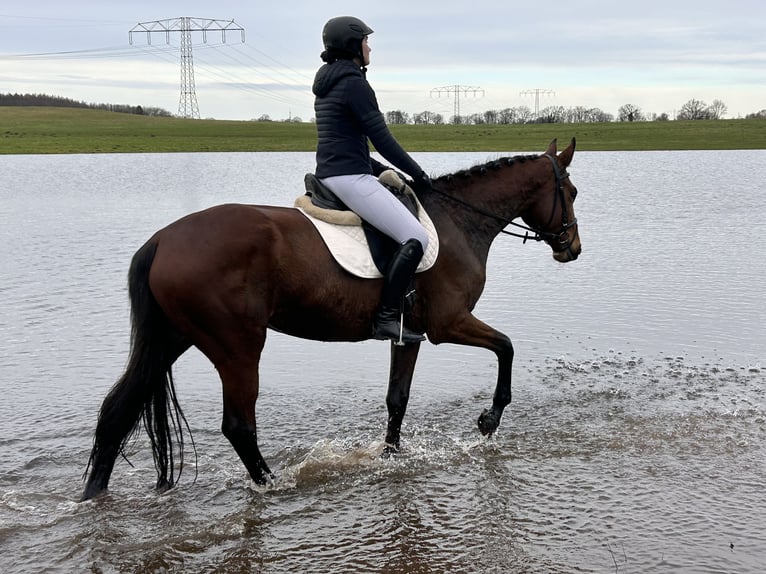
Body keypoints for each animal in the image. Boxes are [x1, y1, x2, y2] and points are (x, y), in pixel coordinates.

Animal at [79, 137, 584, 502]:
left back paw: (93, 494)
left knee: (118, 410)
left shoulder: (410, 334)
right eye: (572, 193)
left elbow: (397, 399)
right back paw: (273, 484)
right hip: (237, 346)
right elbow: (506, 348)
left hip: (170, 339)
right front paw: (488, 420)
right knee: (238, 426)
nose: (572, 248)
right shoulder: (449, 323)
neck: (458, 221)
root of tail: (163, 239)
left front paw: (391, 457)